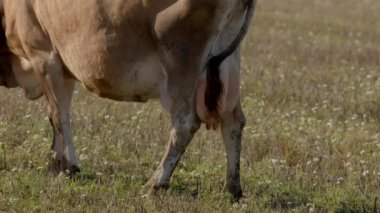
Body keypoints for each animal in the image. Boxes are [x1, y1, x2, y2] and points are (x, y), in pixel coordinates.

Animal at [0, 0, 256, 200]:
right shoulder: (62, 68)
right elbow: (57, 115)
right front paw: (56, 161)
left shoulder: (44, 56)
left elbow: (58, 117)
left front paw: (67, 167)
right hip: (227, 65)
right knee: (233, 121)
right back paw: (231, 189)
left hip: (182, 63)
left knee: (185, 124)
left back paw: (155, 183)